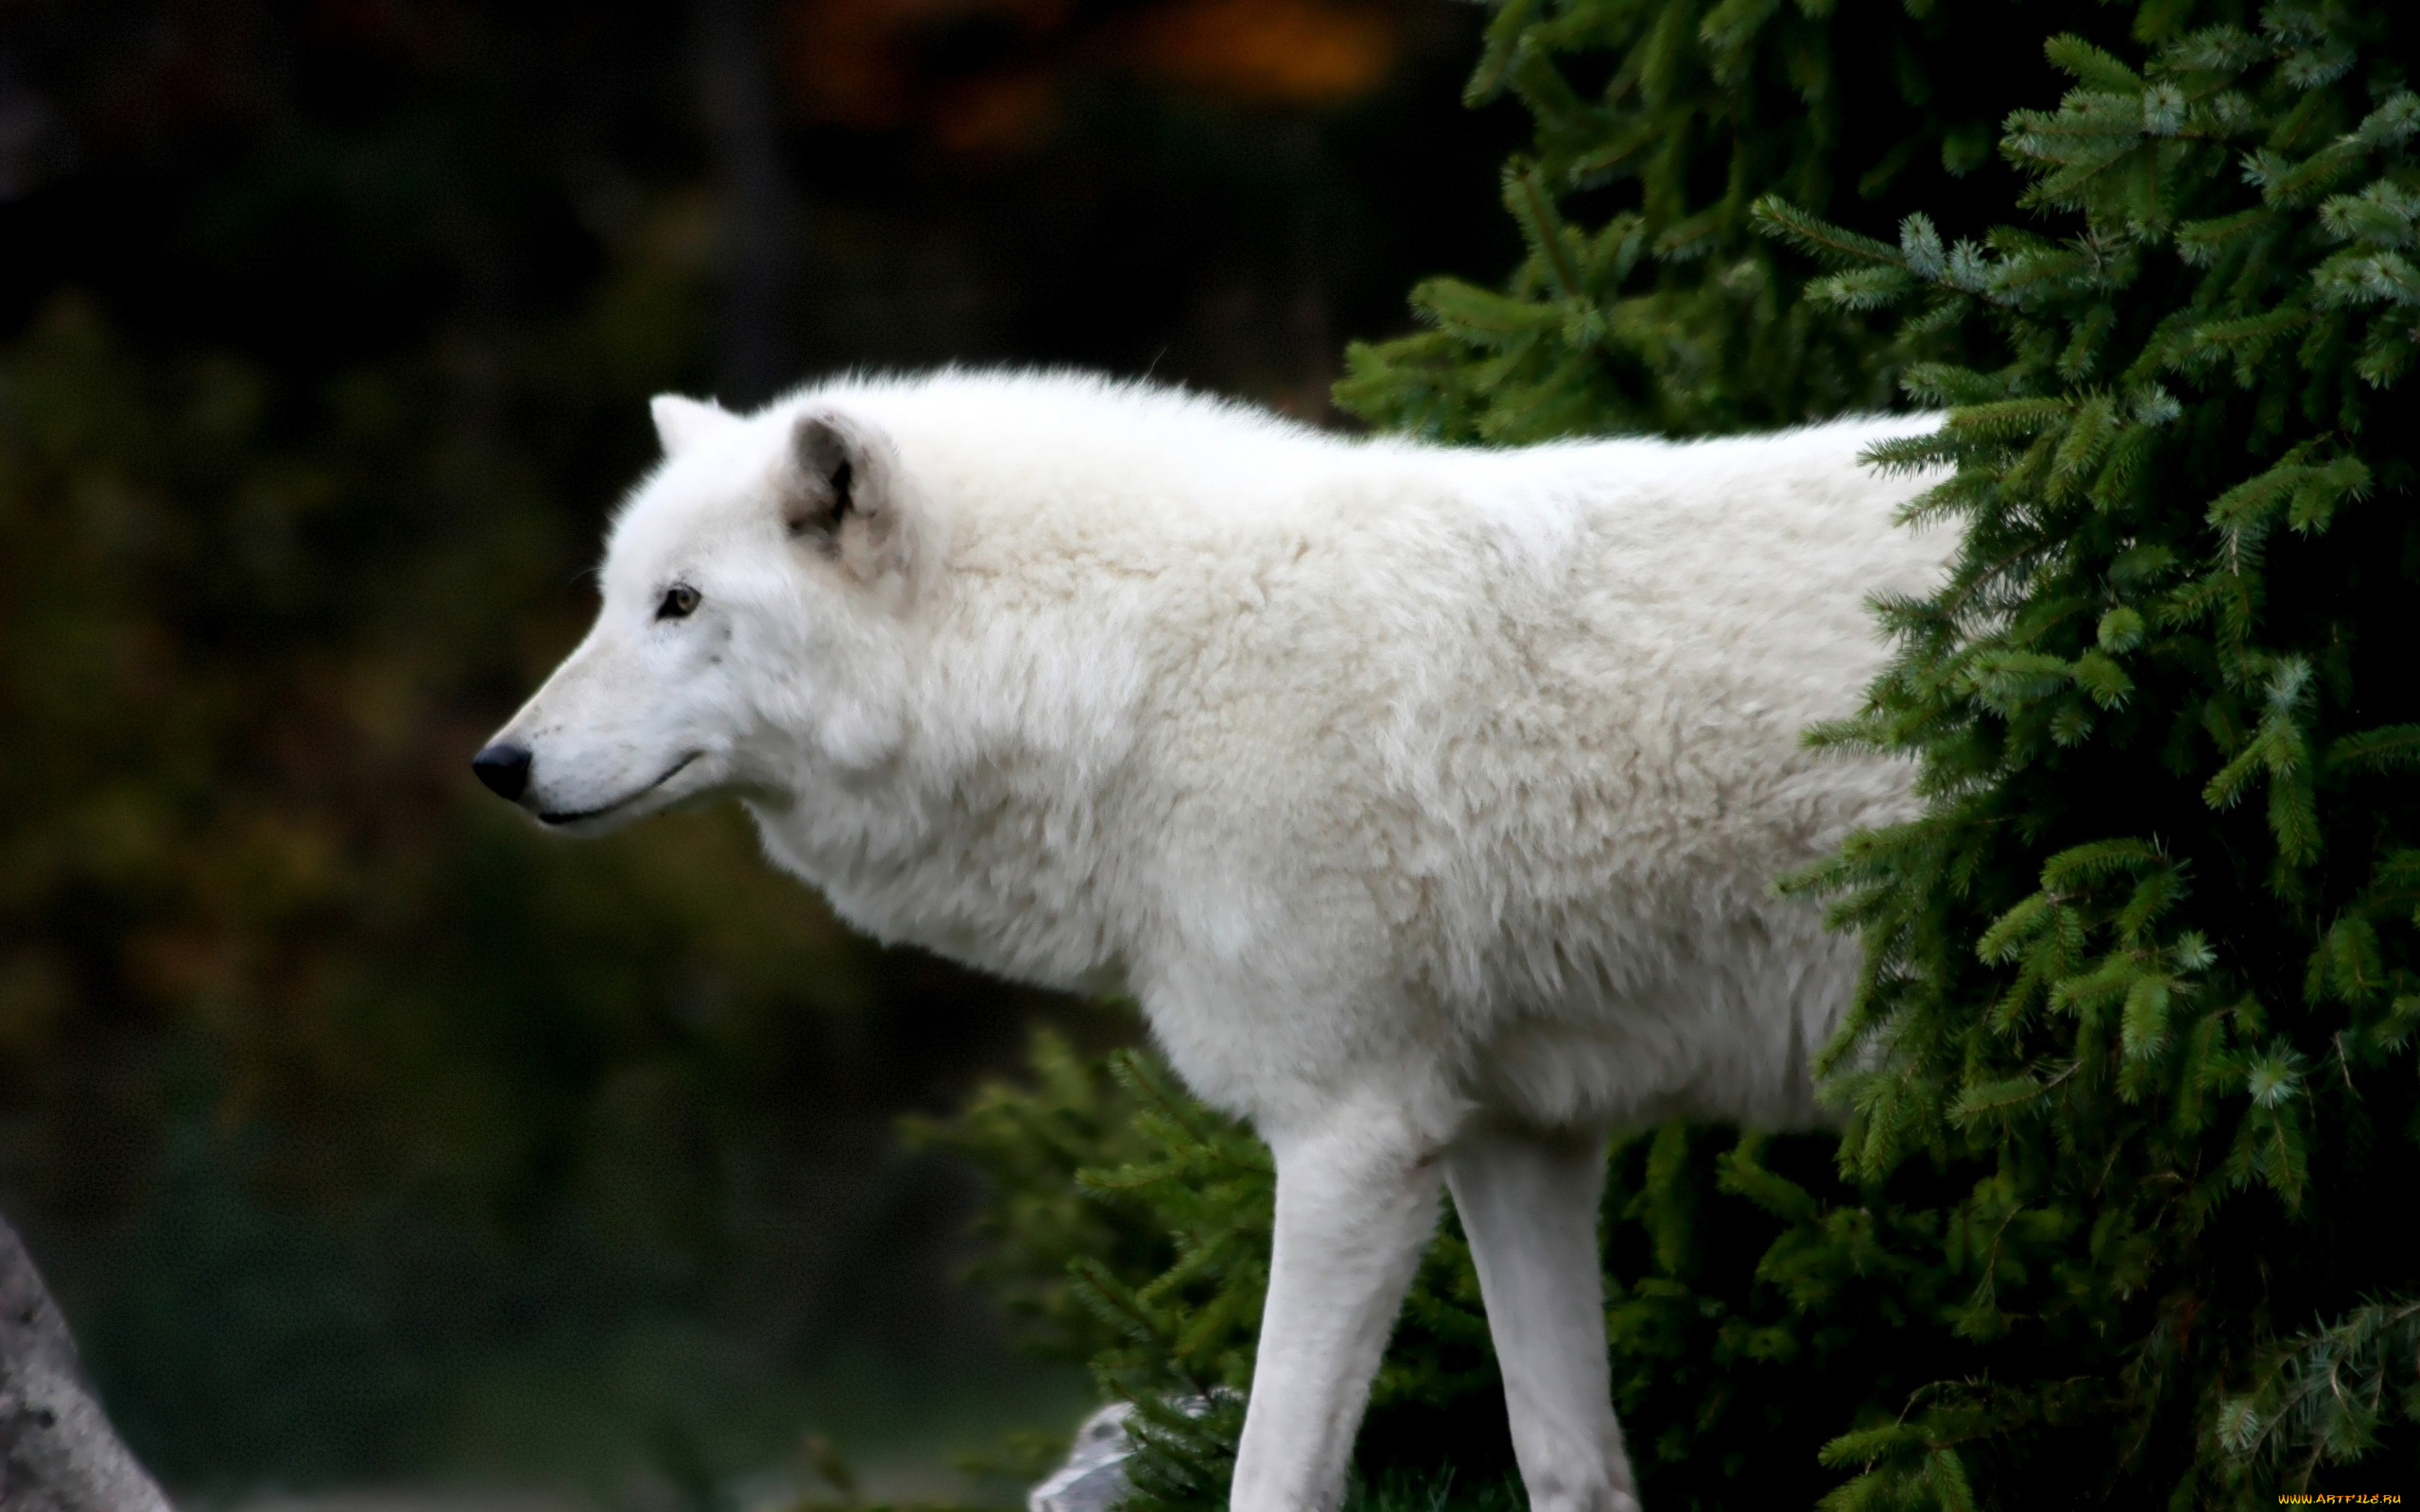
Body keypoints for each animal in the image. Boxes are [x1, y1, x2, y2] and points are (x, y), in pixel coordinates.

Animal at [467, 368, 1945, 1509]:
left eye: (680, 605)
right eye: (611, 599)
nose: (497, 763)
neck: (1134, 666)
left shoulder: (1352, 1139)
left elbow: (1271, 1474)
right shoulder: (1513, 1137)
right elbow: (1565, 1460)